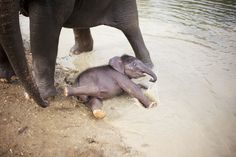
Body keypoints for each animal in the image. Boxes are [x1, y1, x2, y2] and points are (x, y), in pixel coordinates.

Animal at [0, 0, 154, 99]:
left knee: (130, 26)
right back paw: (76, 52)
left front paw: (42, 96)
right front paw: (4, 78)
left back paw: (148, 64)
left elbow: (44, 29)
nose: (43, 103)